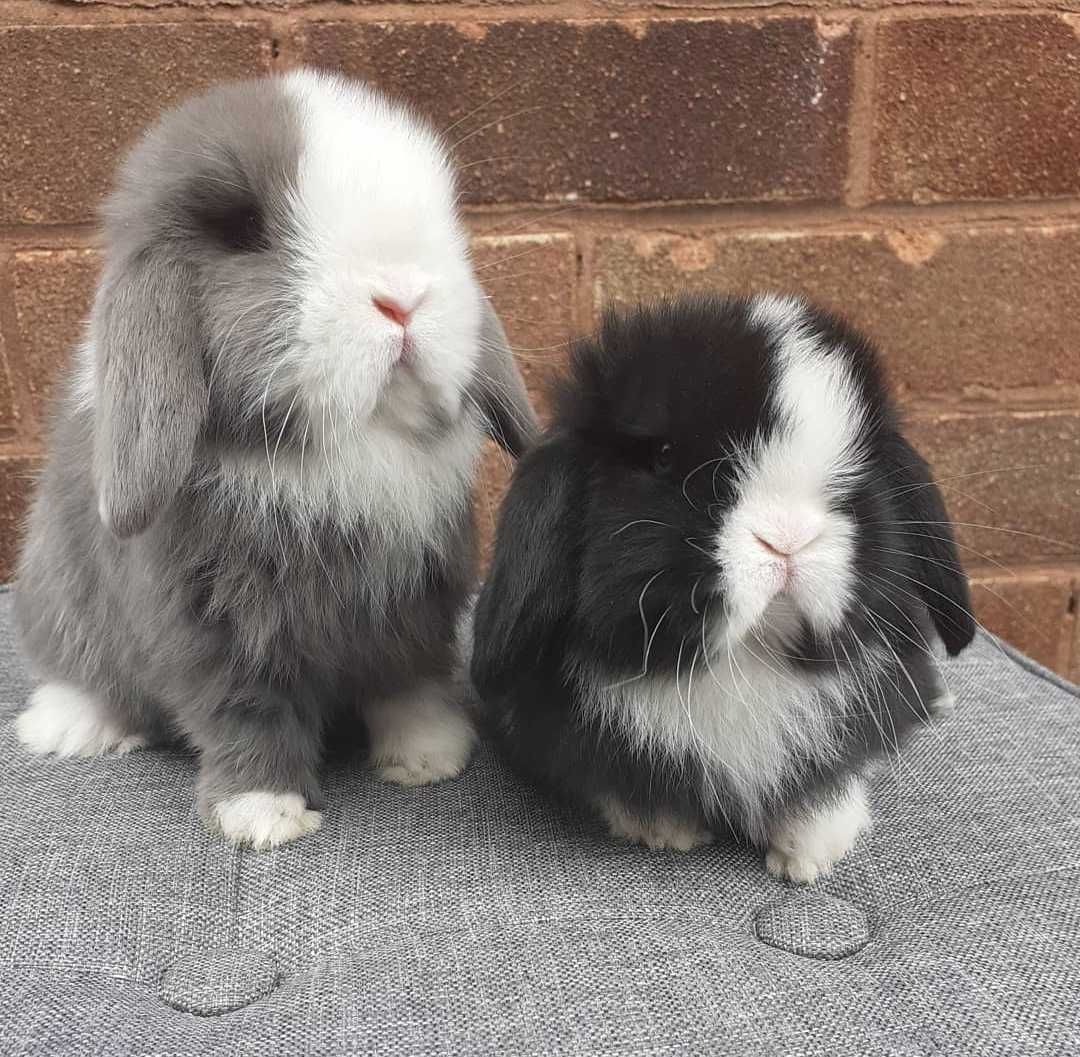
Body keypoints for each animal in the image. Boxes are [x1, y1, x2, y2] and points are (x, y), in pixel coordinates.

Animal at [14, 70, 537, 846]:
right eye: (243, 233)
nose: (404, 296)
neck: (340, 456)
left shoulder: (416, 602)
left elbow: (409, 680)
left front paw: (430, 755)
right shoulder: (216, 629)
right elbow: (244, 713)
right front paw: (262, 815)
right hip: (56, 594)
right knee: (77, 669)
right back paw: (68, 729)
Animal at [468, 293, 976, 881]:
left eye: (857, 465)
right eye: (663, 455)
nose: (787, 539)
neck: (745, 660)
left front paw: (811, 857)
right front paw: (664, 832)